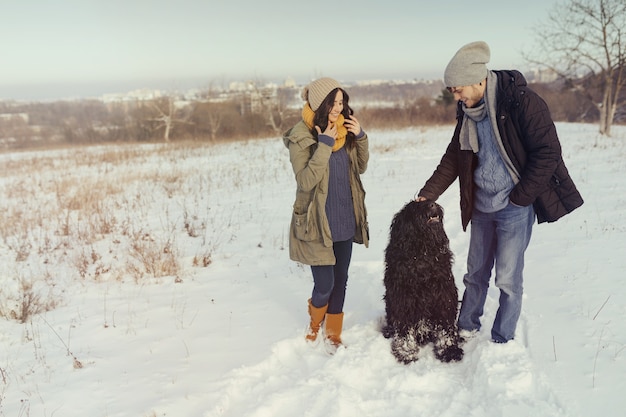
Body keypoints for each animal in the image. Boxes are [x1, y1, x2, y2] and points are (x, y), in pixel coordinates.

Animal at [380, 200, 464, 362]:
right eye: (414, 208)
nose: (432, 204)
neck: (422, 253)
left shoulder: (444, 295)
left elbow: (446, 326)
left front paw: (449, 350)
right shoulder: (403, 299)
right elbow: (405, 329)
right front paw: (406, 352)